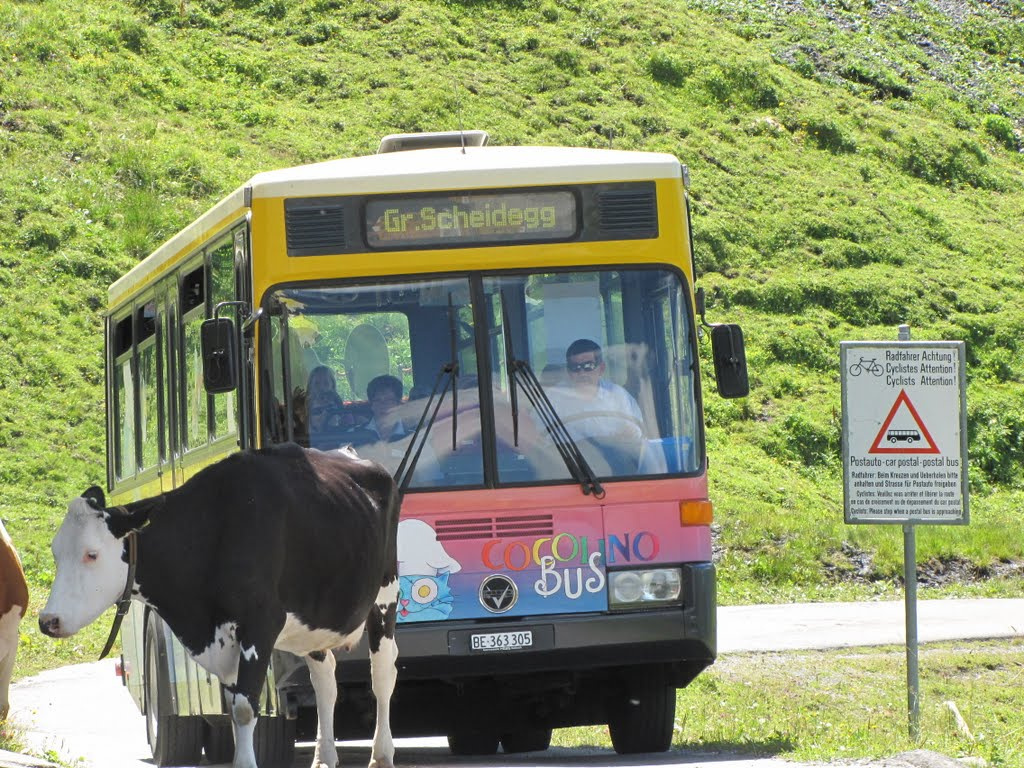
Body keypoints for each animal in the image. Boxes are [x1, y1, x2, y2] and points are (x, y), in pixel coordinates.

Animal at [39, 442, 399, 768]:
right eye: (56, 552)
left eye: (91, 554)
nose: (47, 620)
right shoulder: (222, 638)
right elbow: (233, 707)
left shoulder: (261, 622)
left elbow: (244, 708)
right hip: (315, 619)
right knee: (325, 680)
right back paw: (324, 756)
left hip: (386, 594)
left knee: (382, 673)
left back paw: (381, 754)